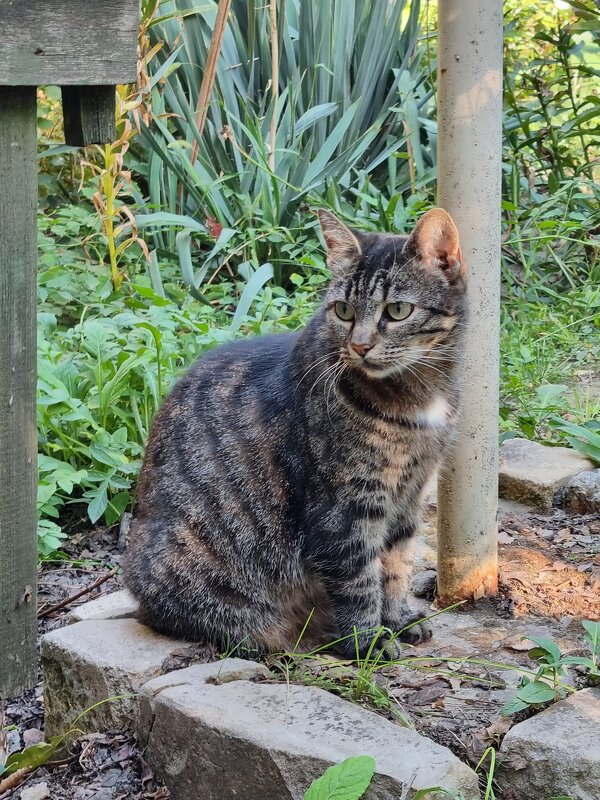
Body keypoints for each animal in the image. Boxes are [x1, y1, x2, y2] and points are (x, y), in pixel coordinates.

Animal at [124, 208, 466, 656]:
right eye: (343, 310)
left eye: (396, 311)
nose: (360, 346)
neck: (419, 396)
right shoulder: (345, 506)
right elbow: (360, 579)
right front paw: (369, 643)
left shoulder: (411, 496)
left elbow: (396, 566)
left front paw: (398, 620)